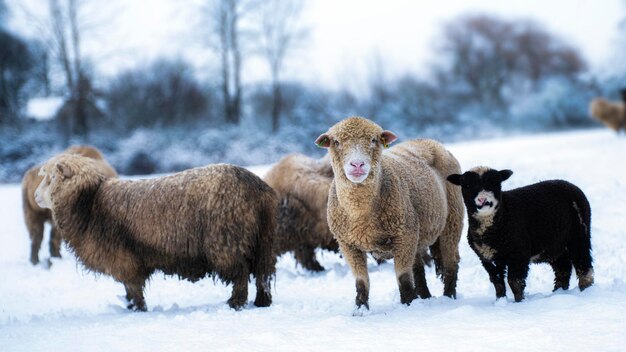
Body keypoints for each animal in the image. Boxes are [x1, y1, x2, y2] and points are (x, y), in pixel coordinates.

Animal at [34, 154, 276, 310]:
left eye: (51, 178)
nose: (35, 196)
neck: (89, 201)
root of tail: (256, 187)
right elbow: (129, 289)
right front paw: (130, 306)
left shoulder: (124, 259)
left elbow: (133, 287)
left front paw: (137, 308)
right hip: (262, 241)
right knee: (262, 274)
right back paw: (262, 302)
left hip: (228, 241)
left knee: (241, 274)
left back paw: (236, 303)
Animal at [316, 117, 464, 310]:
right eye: (336, 142)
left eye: (373, 140)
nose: (357, 165)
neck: (360, 215)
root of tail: (429, 141)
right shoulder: (348, 244)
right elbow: (361, 281)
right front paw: (360, 309)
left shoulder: (403, 237)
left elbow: (403, 277)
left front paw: (408, 303)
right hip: (416, 232)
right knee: (418, 268)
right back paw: (424, 297)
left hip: (451, 221)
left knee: (450, 264)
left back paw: (448, 296)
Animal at [446, 166, 592, 302]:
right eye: (467, 186)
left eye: (495, 183)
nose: (483, 200)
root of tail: (570, 185)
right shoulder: (487, 258)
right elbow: (497, 282)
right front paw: (500, 301)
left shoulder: (518, 253)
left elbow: (514, 282)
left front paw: (519, 302)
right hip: (555, 246)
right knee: (563, 269)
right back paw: (558, 293)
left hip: (579, 233)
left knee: (583, 264)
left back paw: (585, 289)